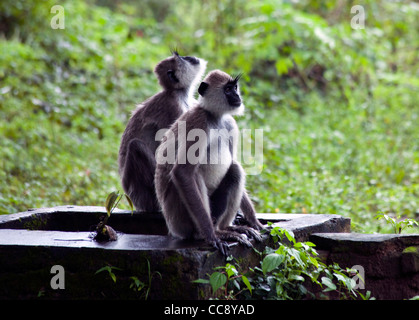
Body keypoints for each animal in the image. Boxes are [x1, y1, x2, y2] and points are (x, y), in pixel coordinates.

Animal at [118, 51, 207, 212]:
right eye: (182, 58)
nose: (190, 57)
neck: (179, 94)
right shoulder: (173, 108)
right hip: (144, 194)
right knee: (135, 146)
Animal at [156, 70, 264, 255]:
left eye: (235, 87)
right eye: (227, 90)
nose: (237, 96)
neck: (215, 117)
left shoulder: (230, 124)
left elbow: (233, 161)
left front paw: (254, 221)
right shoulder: (198, 121)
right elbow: (182, 172)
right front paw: (211, 236)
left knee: (235, 170)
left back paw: (226, 228)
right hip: (180, 220)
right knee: (194, 174)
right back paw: (208, 233)